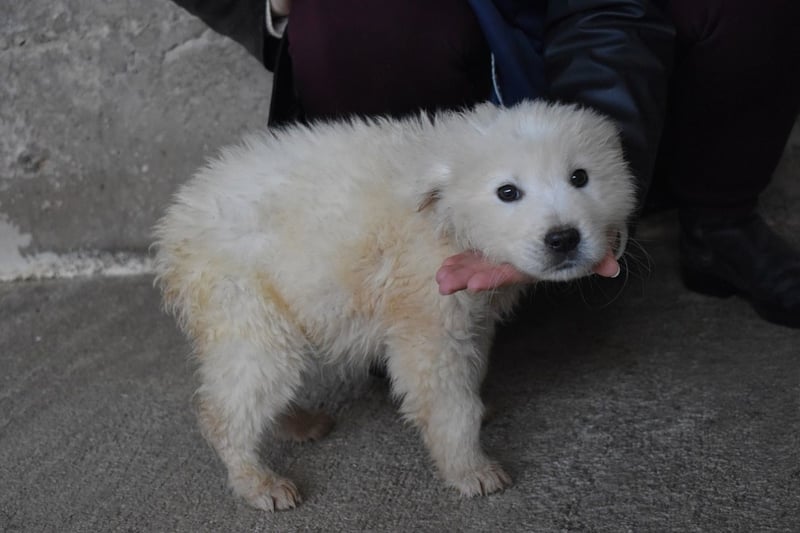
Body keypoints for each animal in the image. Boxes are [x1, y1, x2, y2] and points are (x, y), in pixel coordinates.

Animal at [153, 101, 636, 511]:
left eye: (580, 177)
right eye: (508, 191)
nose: (563, 238)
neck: (446, 214)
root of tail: (173, 227)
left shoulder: (471, 312)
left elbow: (473, 365)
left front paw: (481, 408)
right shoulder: (426, 315)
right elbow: (446, 400)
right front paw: (472, 470)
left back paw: (299, 424)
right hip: (243, 302)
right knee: (231, 404)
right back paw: (260, 482)